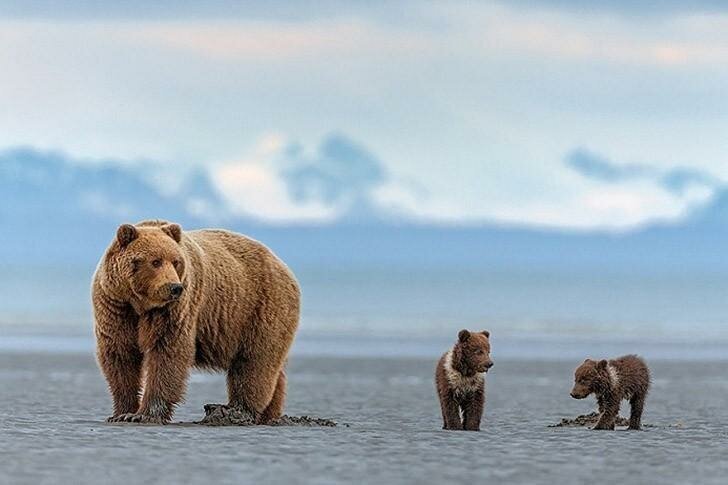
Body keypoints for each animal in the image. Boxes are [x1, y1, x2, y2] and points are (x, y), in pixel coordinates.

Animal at [93, 220, 298, 424]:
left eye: (176, 261)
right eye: (155, 261)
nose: (174, 288)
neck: (141, 304)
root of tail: (284, 266)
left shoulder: (174, 310)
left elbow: (168, 352)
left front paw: (145, 414)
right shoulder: (116, 306)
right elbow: (120, 354)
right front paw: (122, 412)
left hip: (259, 309)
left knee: (254, 361)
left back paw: (237, 411)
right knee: (273, 372)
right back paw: (269, 415)